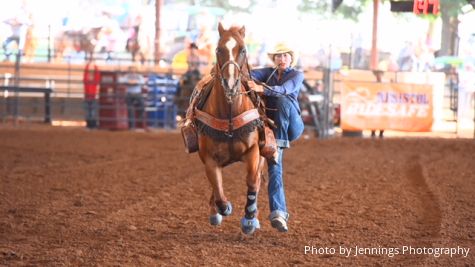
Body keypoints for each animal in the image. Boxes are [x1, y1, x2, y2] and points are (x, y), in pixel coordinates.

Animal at [194, 23, 268, 236]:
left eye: (243, 49)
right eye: (219, 49)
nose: (230, 83)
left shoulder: (253, 152)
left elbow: (252, 181)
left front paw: (249, 219)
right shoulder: (209, 158)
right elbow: (217, 187)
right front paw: (221, 209)